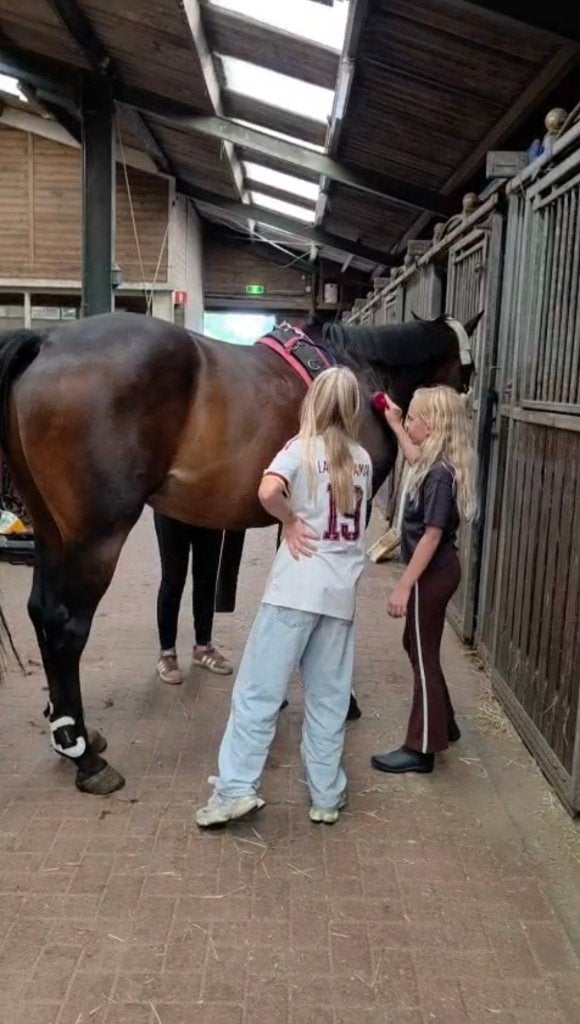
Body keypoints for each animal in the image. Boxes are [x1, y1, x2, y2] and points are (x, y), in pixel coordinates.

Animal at [0, 310, 481, 795]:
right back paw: (83, 755)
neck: (359, 373)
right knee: (65, 625)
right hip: (95, 537)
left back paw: (71, 734)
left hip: (52, 532)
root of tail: (48, 340)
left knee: (40, 611)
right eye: (469, 370)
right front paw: (344, 701)